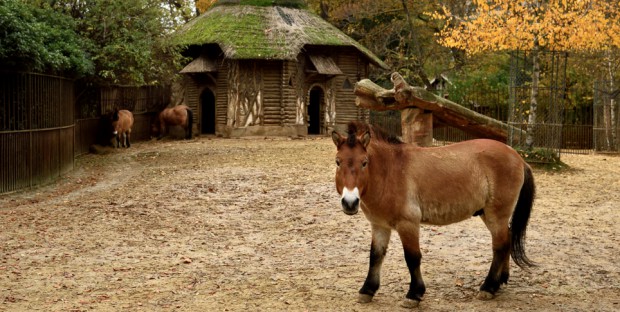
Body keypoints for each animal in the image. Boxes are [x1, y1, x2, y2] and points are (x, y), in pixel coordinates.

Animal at [332, 120, 536, 308]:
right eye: (338, 162)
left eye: (364, 163)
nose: (350, 202)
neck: (390, 171)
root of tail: (517, 157)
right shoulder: (379, 225)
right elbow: (375, 256)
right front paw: (367, 290)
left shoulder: (408, 224)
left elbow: (412, 258)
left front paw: (414, 294)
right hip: (489, 215)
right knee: (507, 240)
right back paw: (501, 280)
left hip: (496, 216)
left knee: (500, 246)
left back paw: (489, 287)